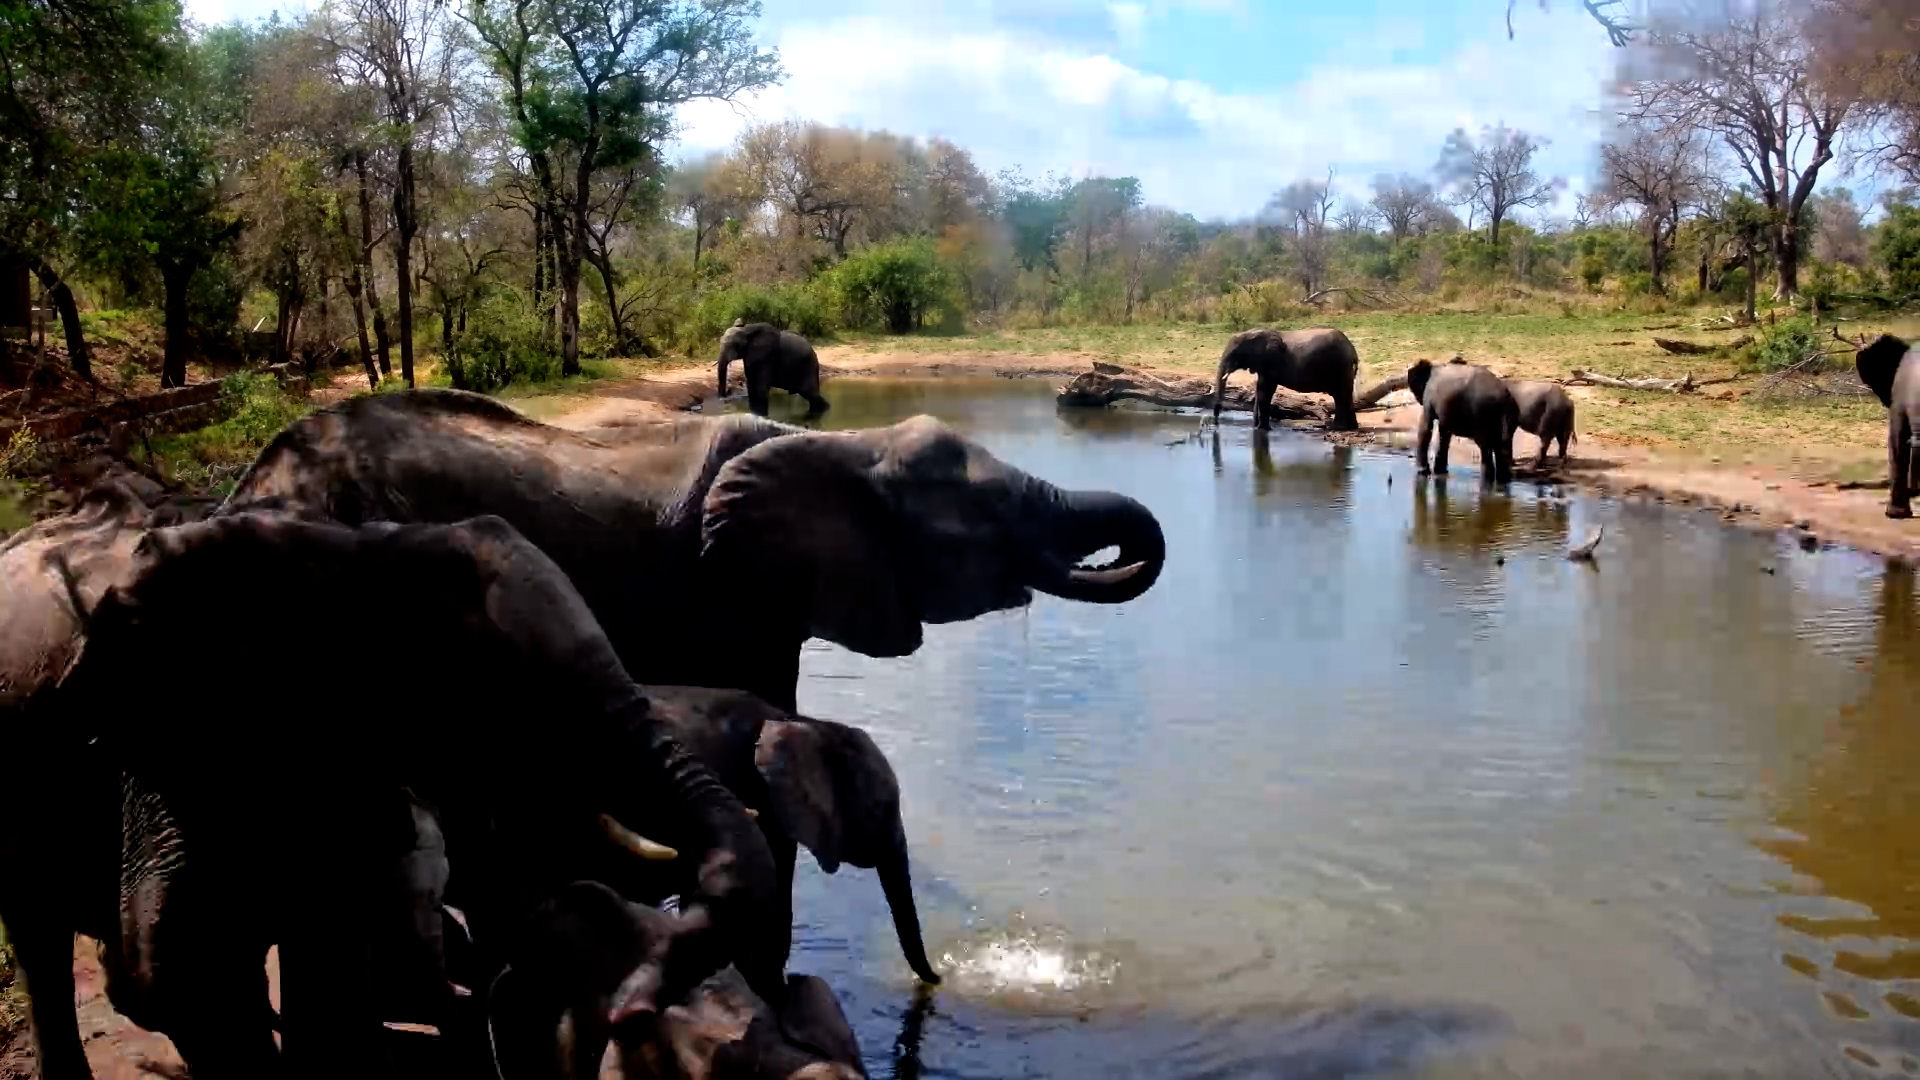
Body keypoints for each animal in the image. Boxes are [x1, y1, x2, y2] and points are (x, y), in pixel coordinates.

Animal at [1, 504, 781, 1080]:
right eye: (509, 694)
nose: (631, 1011)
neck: (348, 556)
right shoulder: (175, 756)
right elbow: (181, 972)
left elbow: (331, 952)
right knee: (45, 943)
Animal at [1211, 326, 1361, 432]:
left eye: (1233, 353)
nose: (1216, 423)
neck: (1252, 333)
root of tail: (1352, 350)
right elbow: (1260, 390)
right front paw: (1256, 428)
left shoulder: (1271, 362)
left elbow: (1265, 390)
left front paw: (1262, 429)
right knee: (1344, 395)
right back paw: (1351, 428)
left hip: (1338, 367)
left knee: (1340, 396)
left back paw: (1336, 428)